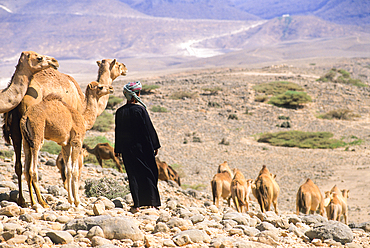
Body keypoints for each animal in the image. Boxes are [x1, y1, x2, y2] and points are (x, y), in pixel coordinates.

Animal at [1, 55, 127, 207]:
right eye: (118, 65)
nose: (125, 68)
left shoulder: (65, 140)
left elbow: (68, 169)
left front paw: (71, 199)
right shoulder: (76, 138)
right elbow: (75, 169)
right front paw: (76, 201)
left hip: (18, 131)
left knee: (20, 166)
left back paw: (24, 200)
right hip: (34, 131)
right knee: (32, 166)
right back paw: (40, 201)